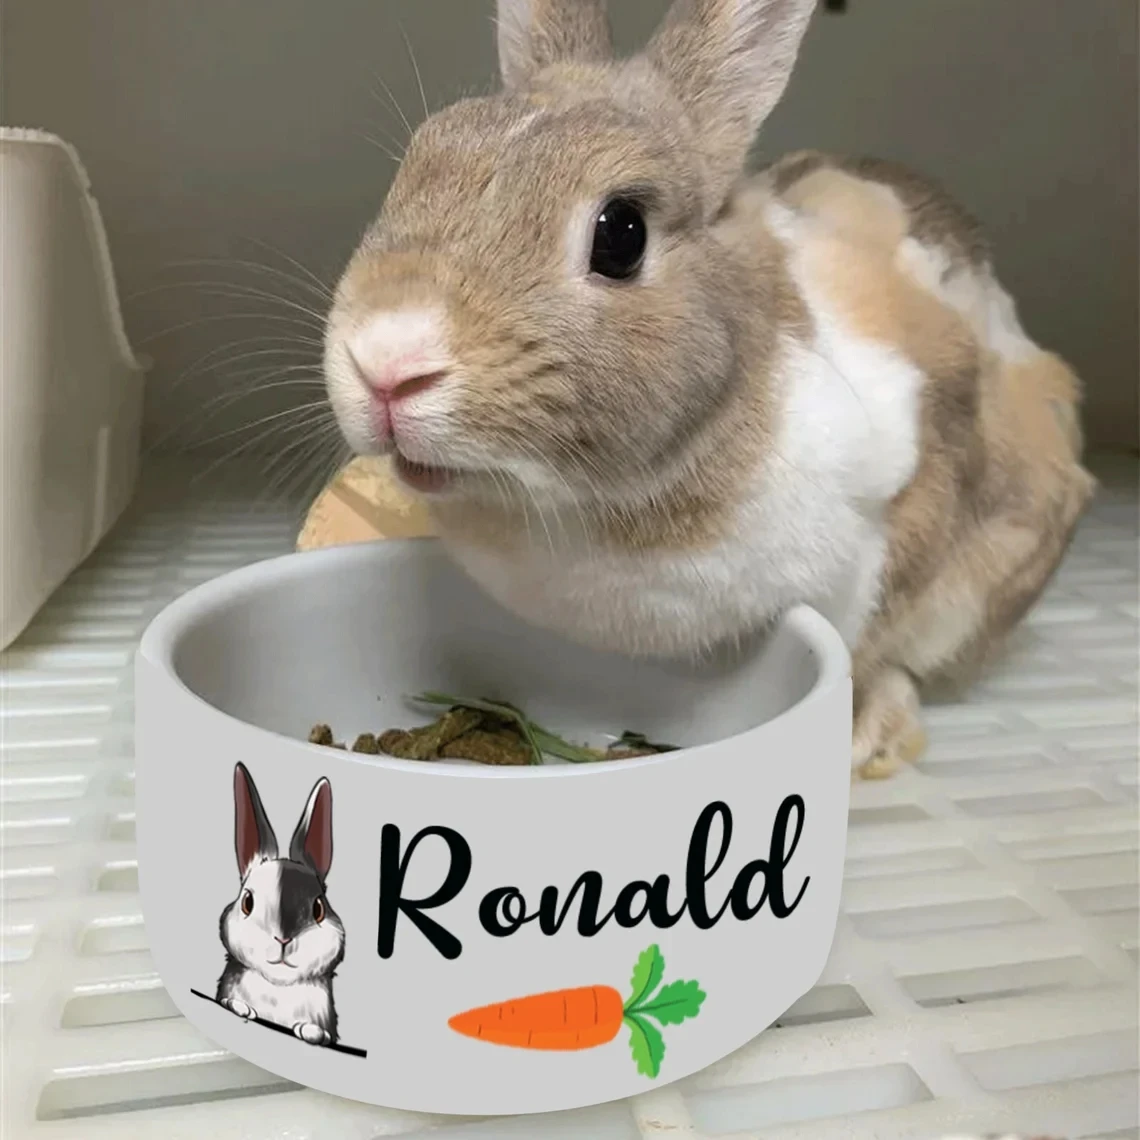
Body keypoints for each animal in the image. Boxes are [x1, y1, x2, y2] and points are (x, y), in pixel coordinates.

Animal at [216, 762, 345, 1045]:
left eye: (318, 909)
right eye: (248, 902)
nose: (284, 939)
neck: (279, 988)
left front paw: (310, 1031)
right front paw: (239, 1007)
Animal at [323, 0, 1095, 779]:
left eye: (622, 233)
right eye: (415, 164)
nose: (385, 361)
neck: (585, 509)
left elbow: (874, 647)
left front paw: (862, 735)